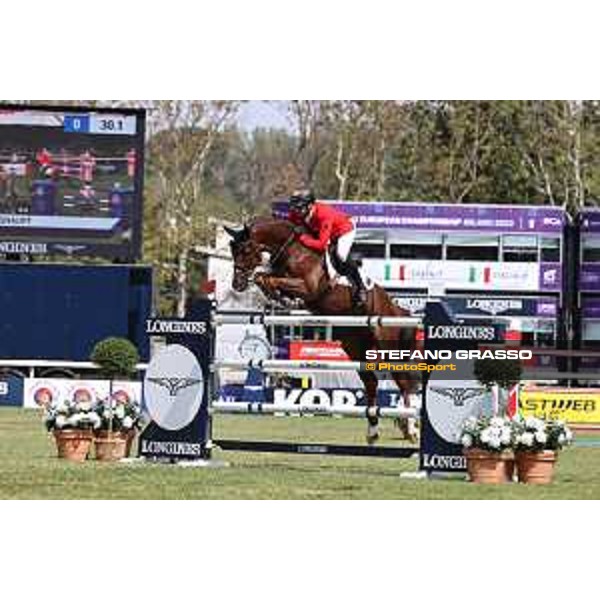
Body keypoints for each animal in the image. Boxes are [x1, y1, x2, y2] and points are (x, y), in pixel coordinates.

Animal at [227, 218, 420, 442]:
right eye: (233, 250)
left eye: (246, 250)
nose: (237, 284)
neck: (292, 250)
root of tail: (395, 308)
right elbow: (266, 278)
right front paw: (277, 295)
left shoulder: (307, 287)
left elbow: (268, 278)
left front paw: (275, 292)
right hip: (356, 346)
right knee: (371, 383)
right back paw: (373, 431)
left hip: (387, 346)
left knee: (404, 383)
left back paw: (410, 428)